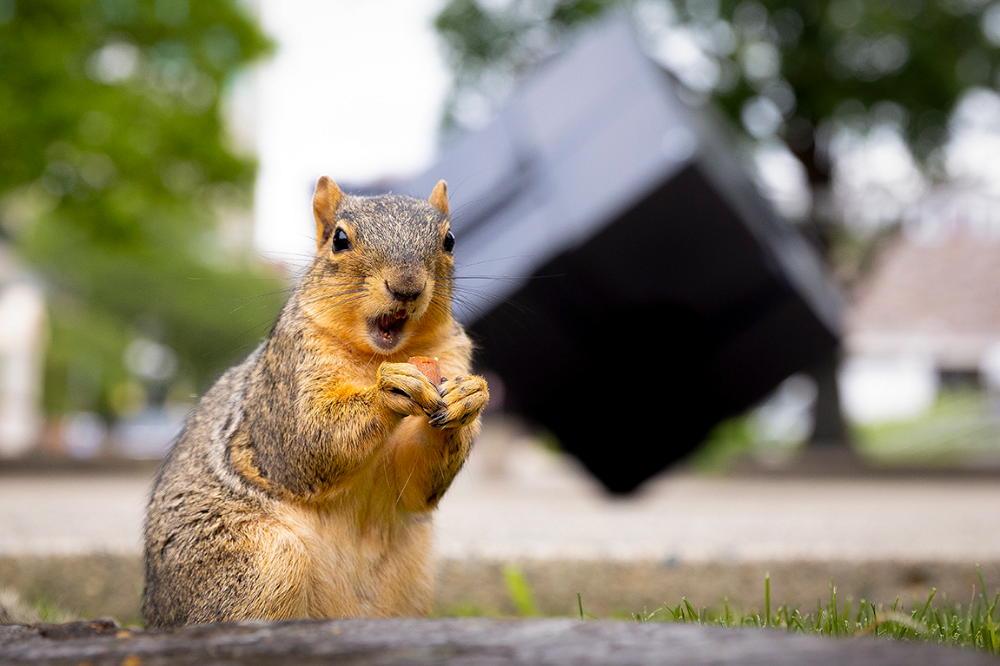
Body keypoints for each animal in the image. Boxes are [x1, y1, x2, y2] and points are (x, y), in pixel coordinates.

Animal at [143, 178, 490, 628]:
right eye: (339, 240)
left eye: (449, 240)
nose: (407, 287)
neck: (378, 356)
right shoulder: (287, 379)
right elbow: (306, 441)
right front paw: (389, 390)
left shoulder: (451, 356)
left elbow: (415, 485)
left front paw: (470, 398)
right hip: (261, 562)